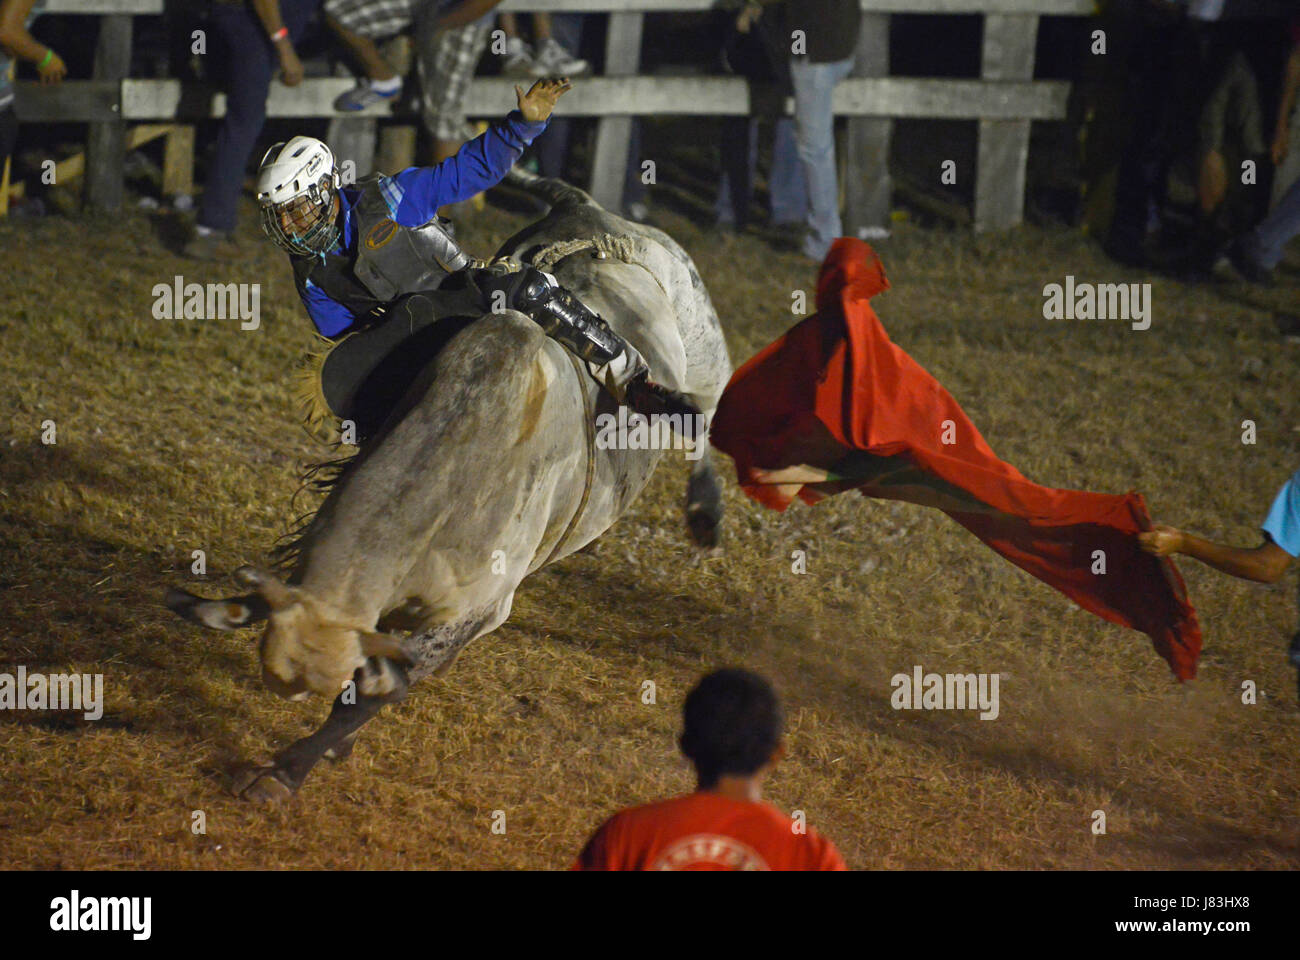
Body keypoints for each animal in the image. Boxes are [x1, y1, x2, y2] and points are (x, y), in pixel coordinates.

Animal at [165, 171, 732, 802]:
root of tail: (594, 208)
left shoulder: (478, 609)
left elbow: (377, 689)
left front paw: (286, 772)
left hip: (702, 335)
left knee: (708, 412)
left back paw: (702, 500)